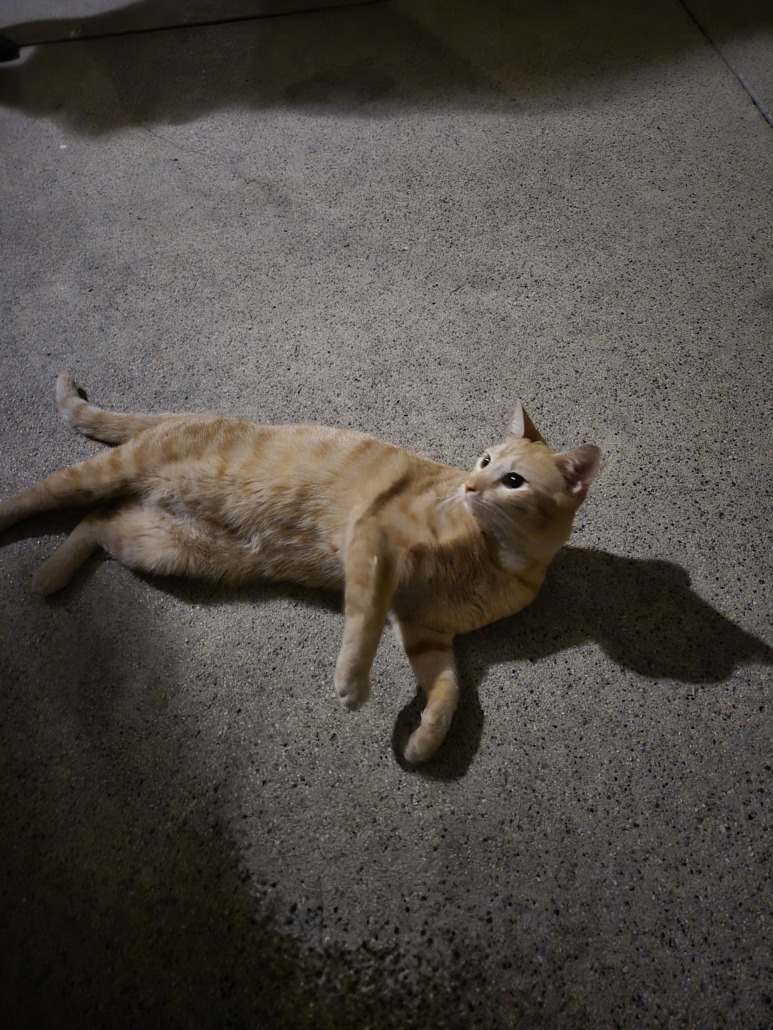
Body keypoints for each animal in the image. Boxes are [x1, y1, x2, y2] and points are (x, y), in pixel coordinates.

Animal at [0, 375, 600, 764]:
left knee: (97, 522)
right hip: (106, 479)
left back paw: (50, 575)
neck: (496, 557)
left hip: (164, 545)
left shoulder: (427, 632)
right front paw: (351, 684)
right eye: (483, 460)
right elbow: (363, 623)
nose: (472, 486)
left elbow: (449, 691)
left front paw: (424, 742)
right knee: (44, 499)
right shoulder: (374, 545)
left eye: (513, 480)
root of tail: (189, 415)